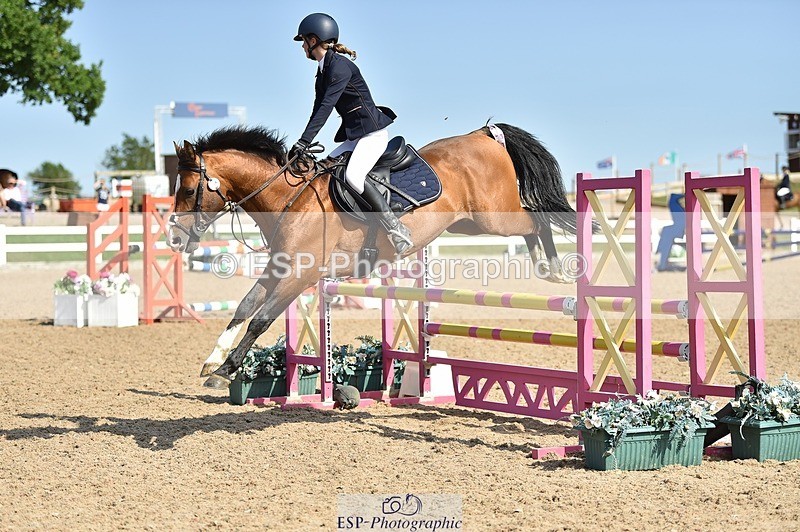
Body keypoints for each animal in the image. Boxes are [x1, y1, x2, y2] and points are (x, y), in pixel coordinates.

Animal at [169, 123, 579, 388]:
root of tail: (484, 134)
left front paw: (226, 371)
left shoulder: (300, 276)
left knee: (535, 219)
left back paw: (555, 269)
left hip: (495, 216)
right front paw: (212, 361)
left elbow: (261, 319)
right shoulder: (280, 268)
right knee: (529, 224)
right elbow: (244, 306)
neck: (288, 197)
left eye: (188, 190)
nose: (174, 237)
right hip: (470, 224)